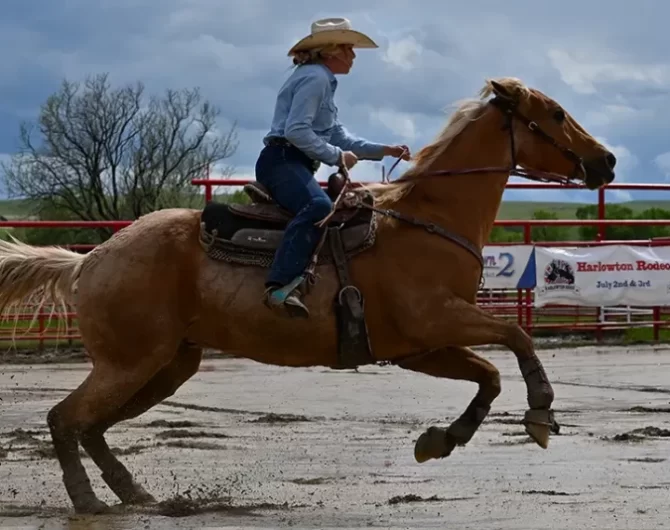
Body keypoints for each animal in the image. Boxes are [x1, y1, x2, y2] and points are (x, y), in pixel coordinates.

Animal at [0, 76, 616, 510]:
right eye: (556, 114)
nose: (606, 160)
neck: (429, 220)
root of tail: (91, 258)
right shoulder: (435, 321)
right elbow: (515, 335)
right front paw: (540, 414)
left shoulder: (418, 348)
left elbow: (487, 374)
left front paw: (441, 439)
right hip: (130, 362)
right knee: (65, 419)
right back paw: (88, 500)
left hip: (166, 365)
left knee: (91, 426)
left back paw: (133, 493)